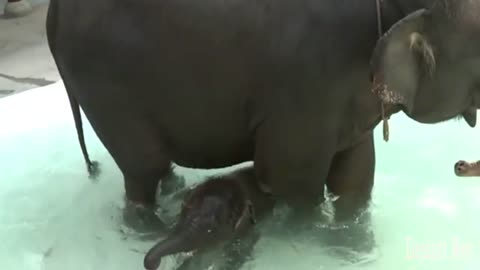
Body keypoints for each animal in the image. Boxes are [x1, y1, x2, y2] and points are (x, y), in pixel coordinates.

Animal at [45, 0, 480, 231]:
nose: (459, 166)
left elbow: (355, 177)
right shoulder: (305, 85)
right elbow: (291, 182)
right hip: (104, 88)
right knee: (141, 170)